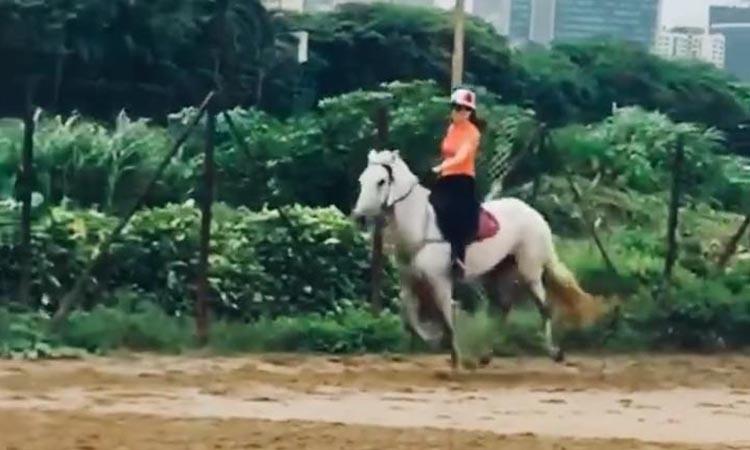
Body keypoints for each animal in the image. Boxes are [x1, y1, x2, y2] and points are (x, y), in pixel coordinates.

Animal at [352, 149, 604, 368]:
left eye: (381, 181)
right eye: (362, 180)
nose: (358, 217)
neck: (420, 226)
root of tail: (534, 214)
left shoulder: (440, 281)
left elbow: (447, 317)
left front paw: (454, 356)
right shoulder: (409, 281)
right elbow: (410, 314)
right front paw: (433, 340)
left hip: (529, 271)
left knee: (543, 307)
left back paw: (555, 352)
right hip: (497, 273)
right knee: (503, 309)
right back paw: (486, 355)